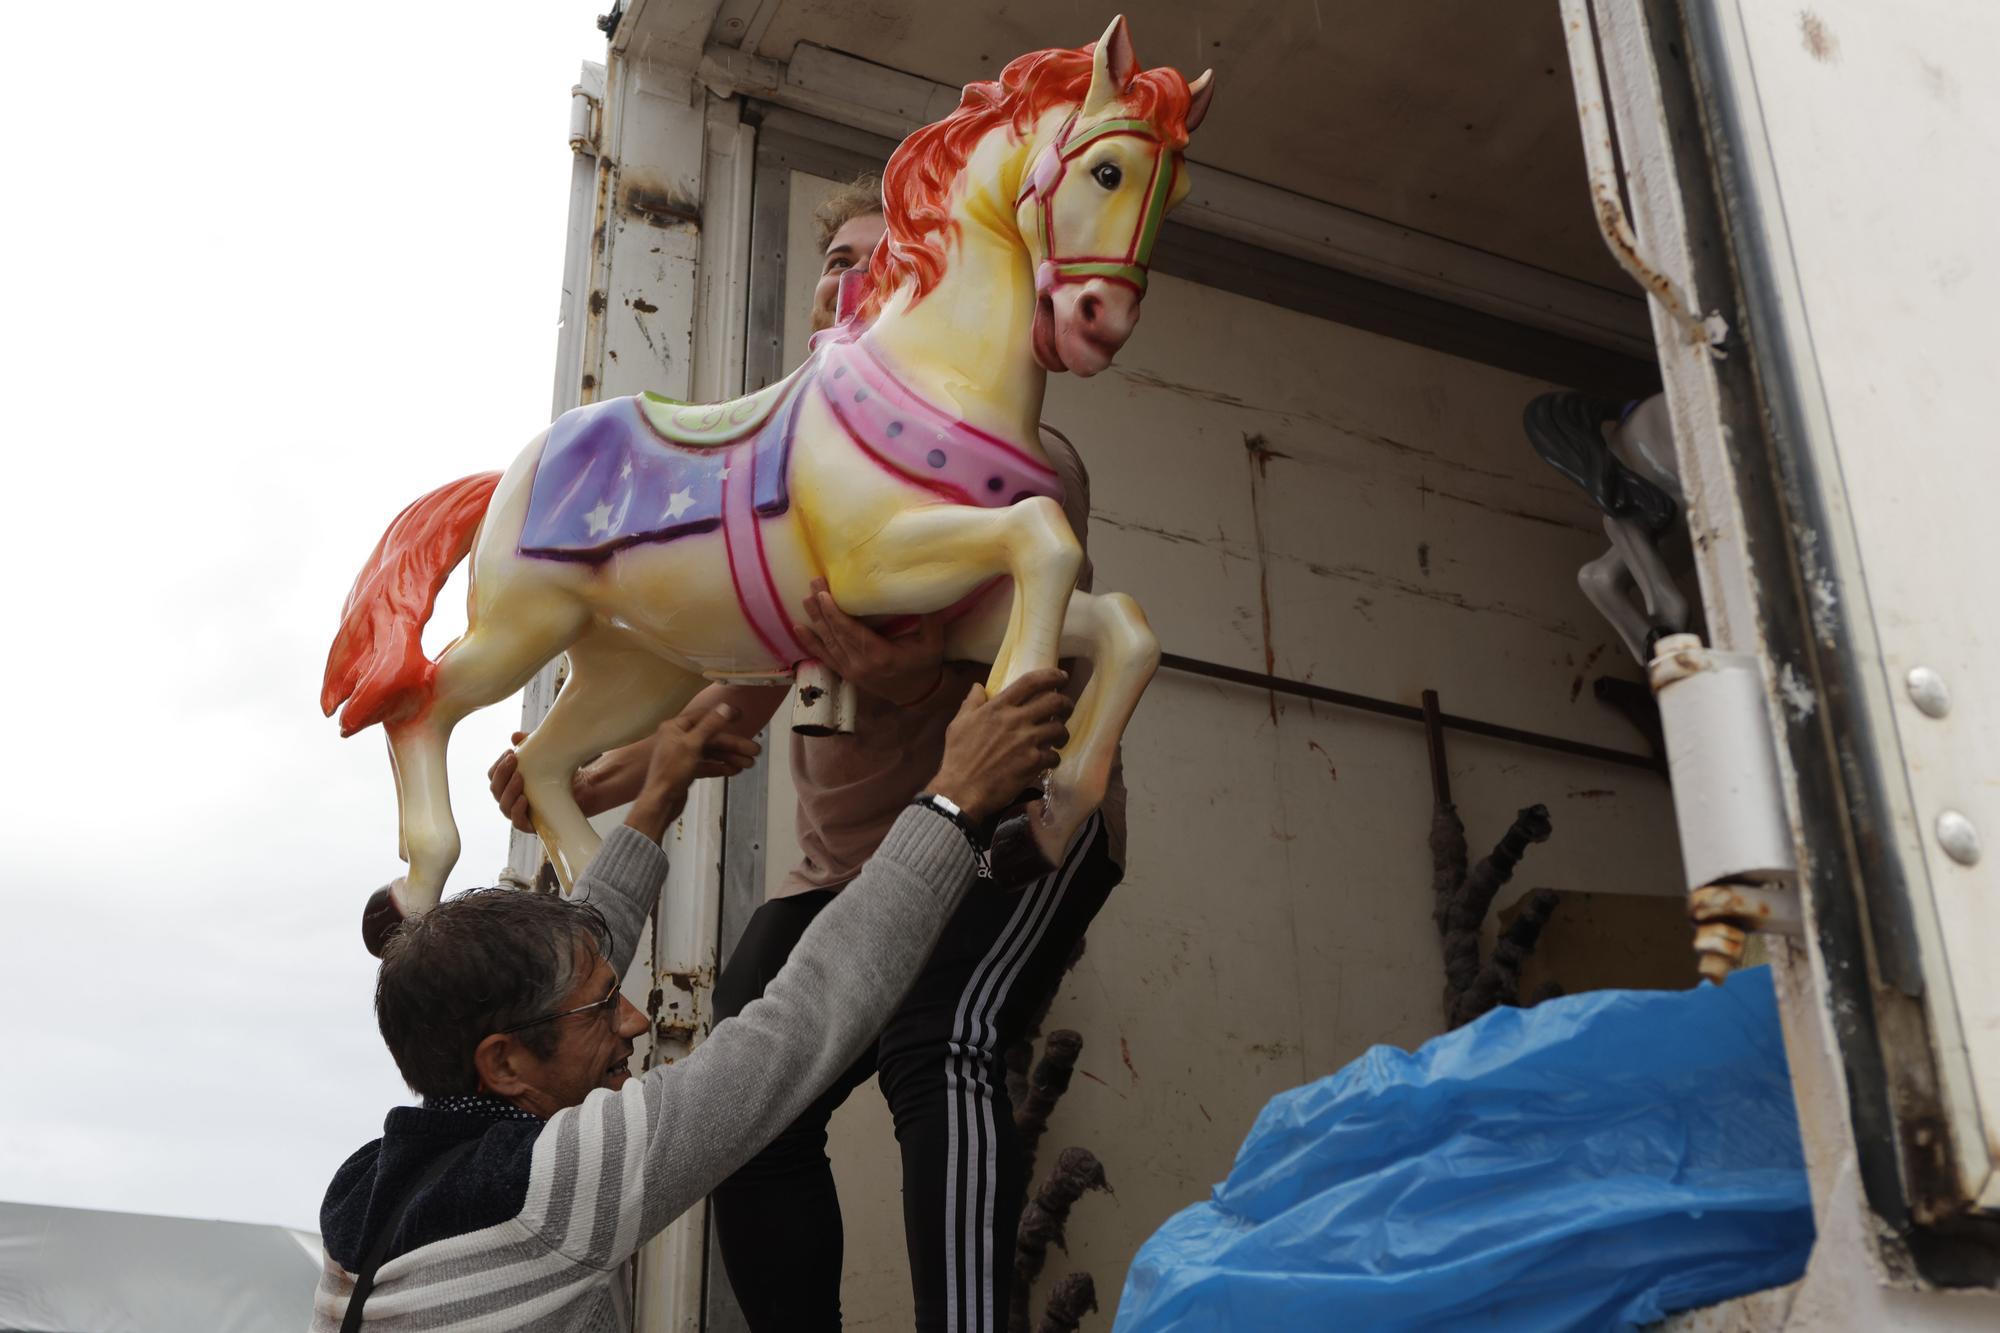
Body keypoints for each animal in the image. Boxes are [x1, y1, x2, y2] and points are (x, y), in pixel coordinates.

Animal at [324, 13, 1216, 944]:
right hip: (520, 624)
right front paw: (1012, 714)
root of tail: (511, 473)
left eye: (1180, 192)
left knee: (541, 760)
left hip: (633, 666)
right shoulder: (874, 568)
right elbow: (1044, 533)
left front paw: (1044, 819)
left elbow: (1124, 623)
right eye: (1107, 170)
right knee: (419, 704)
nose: (1099, 321)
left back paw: (591, 908)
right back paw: (412, 893)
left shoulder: (963, 610)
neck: (943, 373)